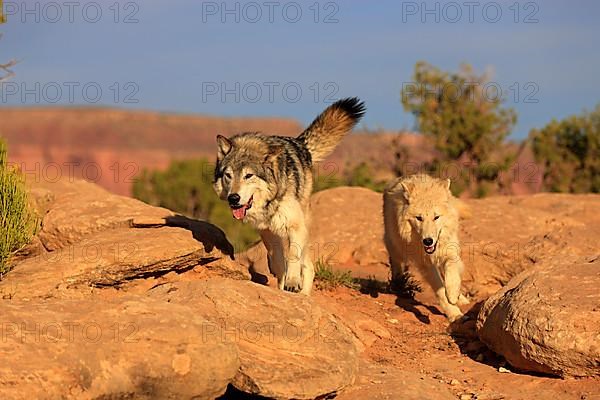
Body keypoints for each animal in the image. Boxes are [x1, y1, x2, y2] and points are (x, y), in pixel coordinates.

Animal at [216, 97, 366, 294]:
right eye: (228, 175)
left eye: (248, 175)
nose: (233, 198)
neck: (269, 203)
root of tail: (299, 143)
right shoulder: (267, 232)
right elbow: (280, 264)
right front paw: (282, 285)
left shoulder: (295, 227)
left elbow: (293, 257)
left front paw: (293, 282)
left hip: (303, 227)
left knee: (308, 267)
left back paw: (304, 294)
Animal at [384, 173, 468, 320]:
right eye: (419, 218)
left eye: (436, 217)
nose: (428, 241)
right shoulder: (425, 264)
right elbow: (440, 291)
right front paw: (454, 313)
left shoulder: (450, 251)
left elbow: (451, 273)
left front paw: (453, 295)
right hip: (394, 246)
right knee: (396, 264)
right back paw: (398, 284)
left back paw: (461, 298)